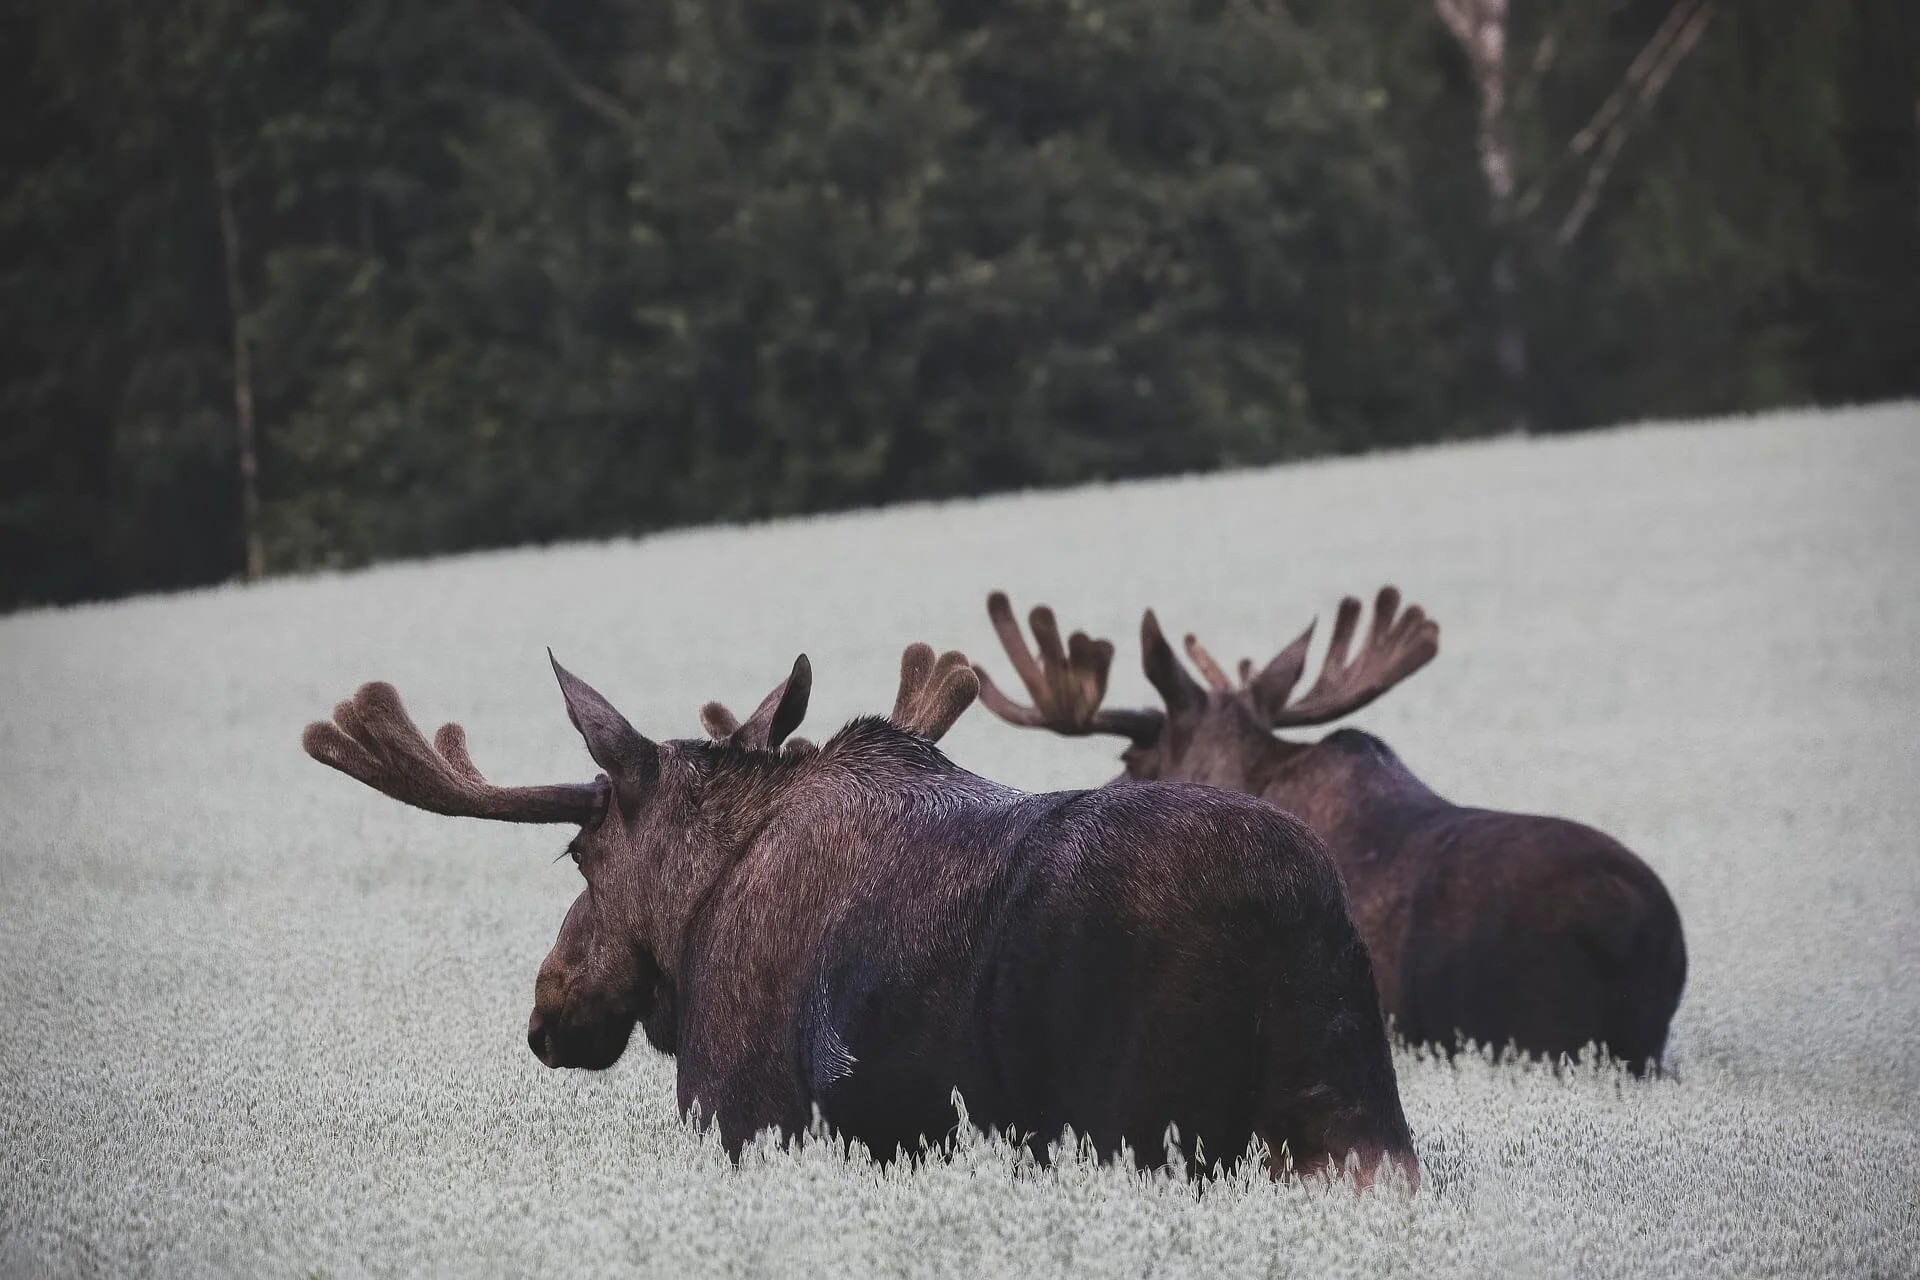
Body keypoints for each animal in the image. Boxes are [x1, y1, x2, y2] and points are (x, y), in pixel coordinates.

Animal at [302, 641, 1419, 1187]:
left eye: (579, 851)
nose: (550, 1006)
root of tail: (1291, 917)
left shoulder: (743, 1112)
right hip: (1356, 1123)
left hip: (1138, 1125)